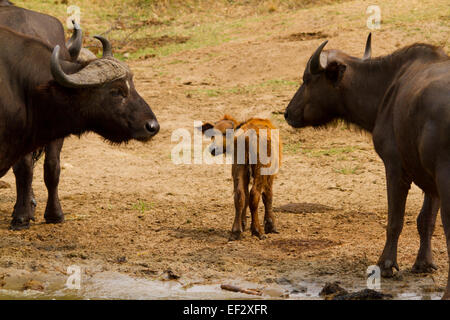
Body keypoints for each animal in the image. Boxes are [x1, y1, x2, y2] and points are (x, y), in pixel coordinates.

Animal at [284, 35, 450, 300]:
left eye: (307, 79)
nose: (287, 113)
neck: (387, 88)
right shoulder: (428, 180)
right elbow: (425, 220)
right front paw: (423, 264)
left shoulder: (394, 167)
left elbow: (395, 220)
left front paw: (386, 264)